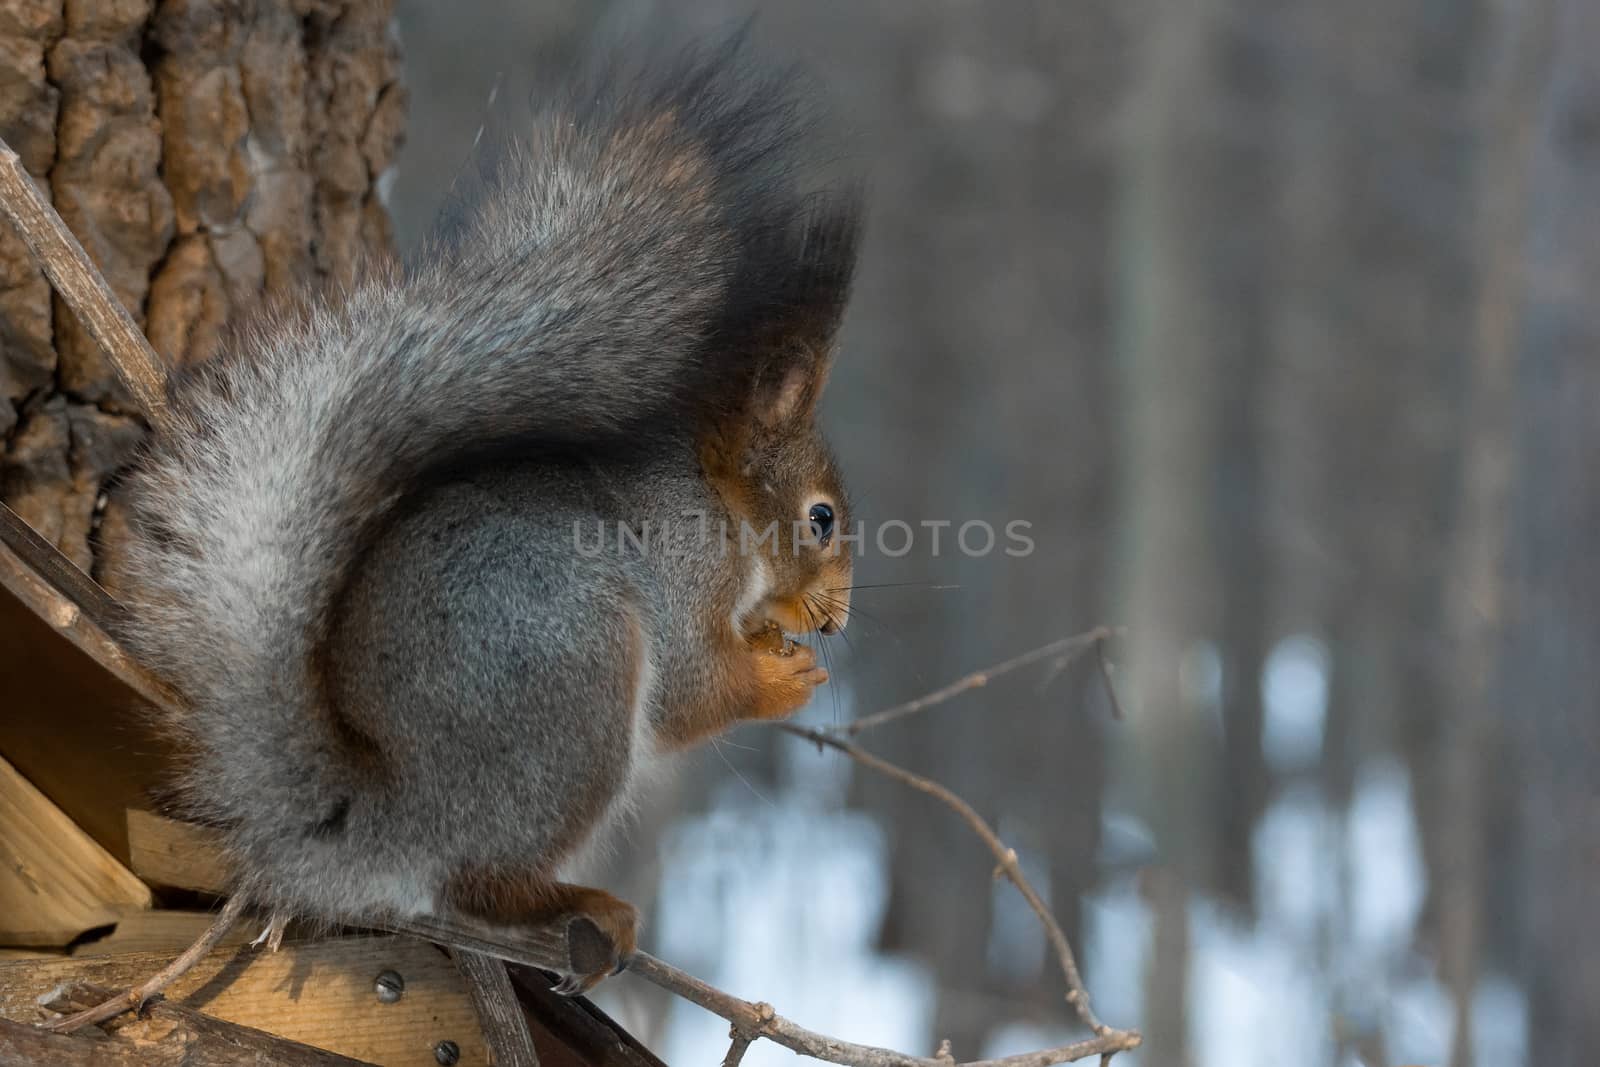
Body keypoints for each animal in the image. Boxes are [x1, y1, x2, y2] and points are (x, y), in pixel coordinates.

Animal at [112, 41, 864, 991]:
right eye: (821, 519)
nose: (836, 620)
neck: (716, 503)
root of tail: (386, 823)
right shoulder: (682, 566)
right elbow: (694, 687)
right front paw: (781, 678)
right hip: (576, 691)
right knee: (478, 885)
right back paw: (587, 907)